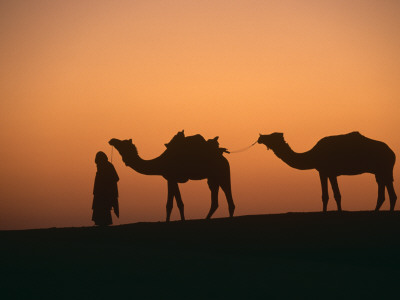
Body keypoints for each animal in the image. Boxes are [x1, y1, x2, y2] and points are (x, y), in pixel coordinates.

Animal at [258, 132, 396, 212]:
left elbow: (335, 195)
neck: (313, 155)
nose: (260, 137)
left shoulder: (329, 171)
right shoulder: (324, 172)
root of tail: (392, 153)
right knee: (385, 189)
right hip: (380, 171)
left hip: (384, 168)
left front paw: (339, 212)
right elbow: (326, 196)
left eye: (271, 136)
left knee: (388, 190)